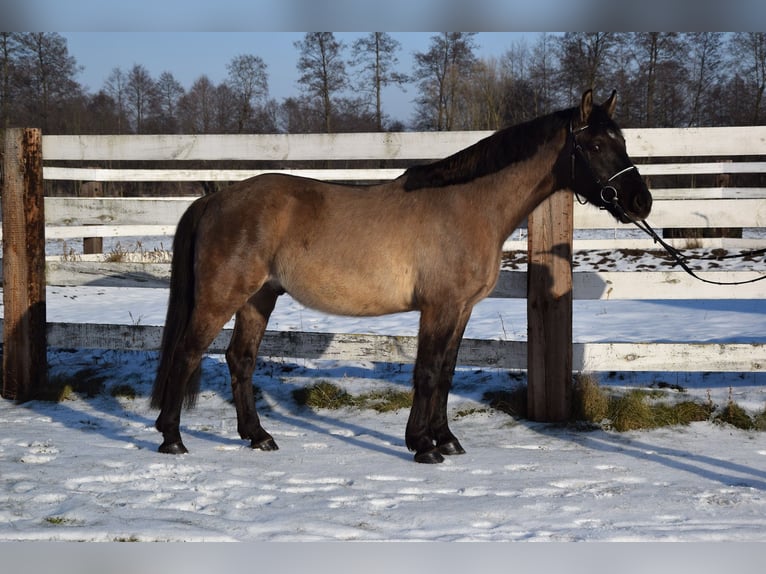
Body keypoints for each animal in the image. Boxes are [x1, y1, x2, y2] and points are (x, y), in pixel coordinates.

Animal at [151, 90, 652, 463]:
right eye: (594, 146)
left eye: (623, 142)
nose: (641, 202)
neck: (469, 205)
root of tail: (216, 198)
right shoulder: (439, 307)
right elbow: (427, 371)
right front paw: (423, 445)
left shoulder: (462, 309)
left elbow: (446, 371)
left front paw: (447, 438)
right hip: (221, 296)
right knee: (187, 353)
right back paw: (172, 438)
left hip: (260, 298)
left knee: (241, 359)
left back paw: (258, 436)